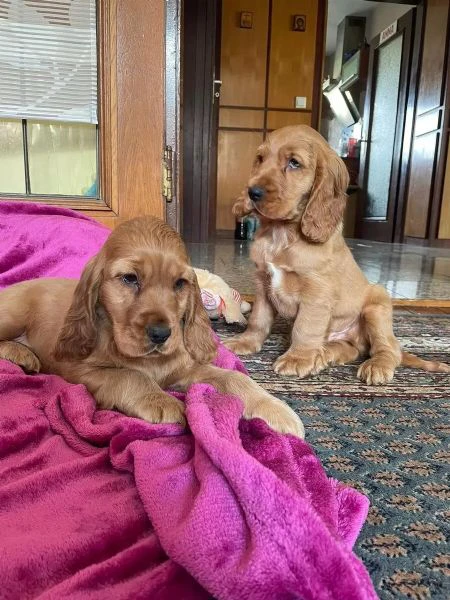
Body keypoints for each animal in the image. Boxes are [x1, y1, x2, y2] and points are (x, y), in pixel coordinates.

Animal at [0, 216, 304, 436]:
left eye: (179, 283)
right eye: (129, 278)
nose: (161, 334)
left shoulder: (186, 369)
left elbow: (234, 378)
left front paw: (276, 409)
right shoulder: (81, 370)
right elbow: (130, 375)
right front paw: (162, 401)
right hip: (12, 315)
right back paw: (20, 353)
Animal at [223, 125, 448, 384]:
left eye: (294, 163)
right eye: (260, 159)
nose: (252, 192)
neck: (281, 234)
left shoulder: (317, 292)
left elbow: (305, 327)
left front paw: (298, 358)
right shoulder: (262, 282)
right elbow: (258, 319)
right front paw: (245, 341)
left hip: (377, 305)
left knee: (388, 348)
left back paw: (375, 365)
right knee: (350, 349)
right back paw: (324, 355)